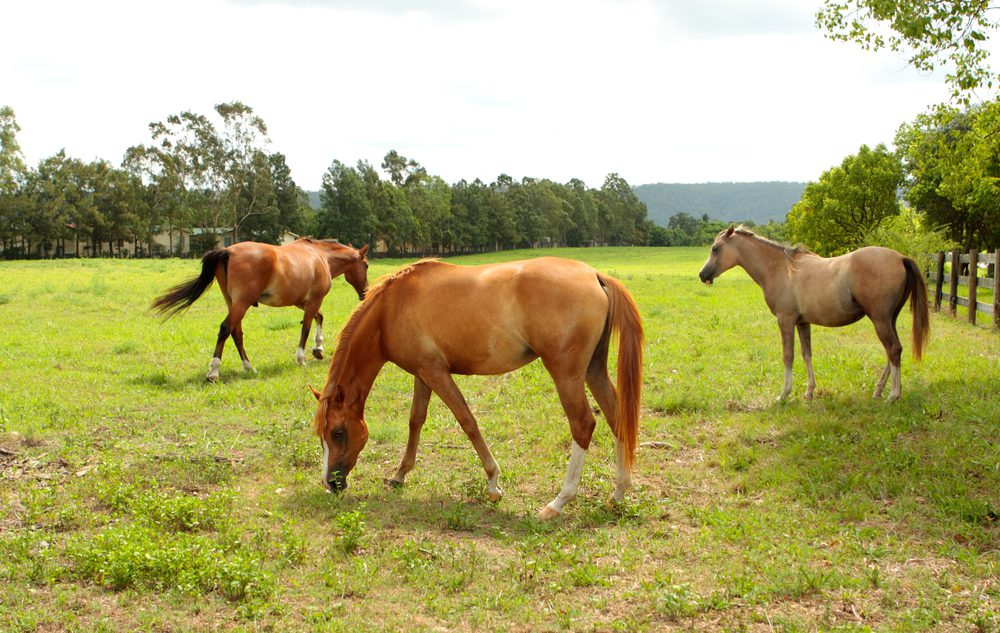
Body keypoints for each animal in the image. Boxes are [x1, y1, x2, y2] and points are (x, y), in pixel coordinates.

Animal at [154, 238, 374, 380]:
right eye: (366, 265)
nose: (365, 292)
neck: (321, 256)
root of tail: (228, 251)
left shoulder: (302, 301)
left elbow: (319, 318)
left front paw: (318, 349)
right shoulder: (313, 300)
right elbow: (307, 327)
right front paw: (302, 358)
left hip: (233, 303)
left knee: (236, 332)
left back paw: (249, 367)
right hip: (241, 304)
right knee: (226, 329)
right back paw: (214, 371)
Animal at [308, 256, 644, 520]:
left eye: (338, 432)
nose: (331, 484)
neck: (390, 309)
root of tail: (595, 275)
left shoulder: (436, 372)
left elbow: (467, 421)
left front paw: (494, 484)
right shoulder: (422, 373)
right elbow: (416, 420)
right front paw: (400, 475)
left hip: (566, 375)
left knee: (583, 424)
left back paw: (559, 502)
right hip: (593, 369)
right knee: (616, 418)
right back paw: (618, 493)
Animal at [700, 226, 924, 400]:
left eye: (715, 248)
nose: (703, 275)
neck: (780, 269)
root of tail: (900, 257)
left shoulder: (786, 321)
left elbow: (788, 356)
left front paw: (784, 394)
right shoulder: (802, 323)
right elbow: (806, 354)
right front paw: (809, 392)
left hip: (880, 319)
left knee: (893, 350)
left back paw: (893, 395)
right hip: (889, 319)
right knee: (893, 351)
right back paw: (879, 391)